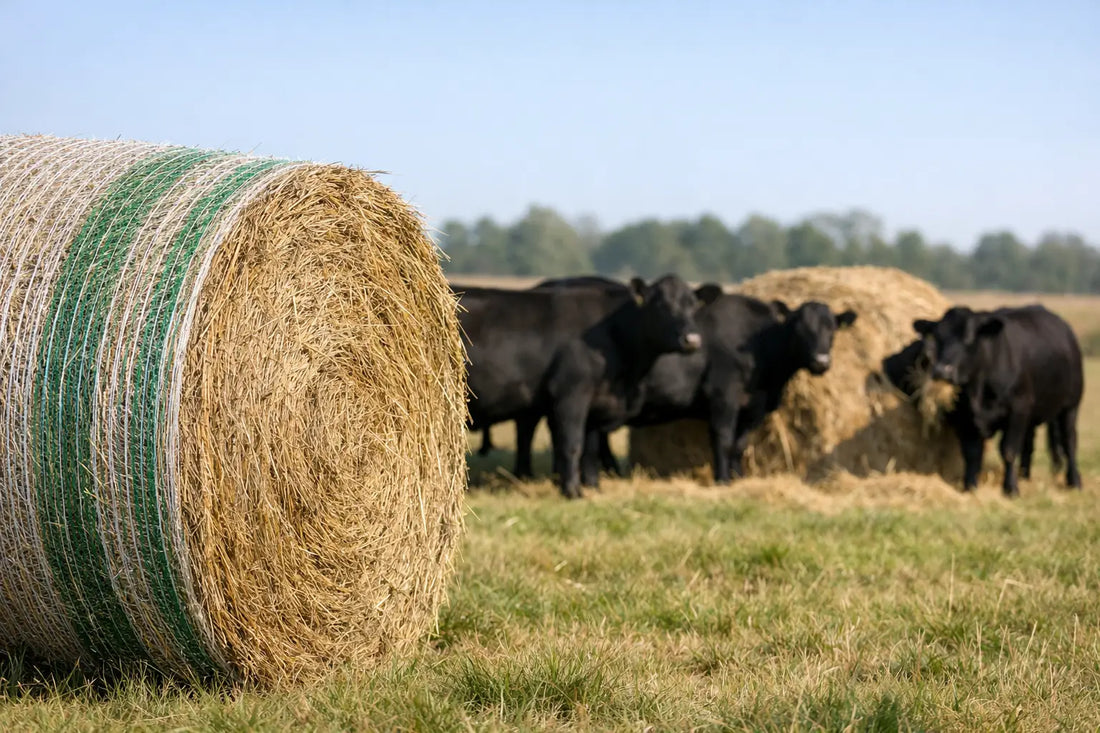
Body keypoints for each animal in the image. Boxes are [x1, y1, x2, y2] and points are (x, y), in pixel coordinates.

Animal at [912, 305, 1083, 496]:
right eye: (937, 337)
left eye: (969, 338)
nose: (942, 370)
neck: (977, 391)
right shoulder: (964, 419)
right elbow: (972, 454)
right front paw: (970, 486)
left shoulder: (1018, 410)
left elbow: (1008, 450)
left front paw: (1011, 488)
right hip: (1031, 415)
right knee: (1028, 445)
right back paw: (1025, 476)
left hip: (1070, 407)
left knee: (1069, 442)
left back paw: (1074, 481)